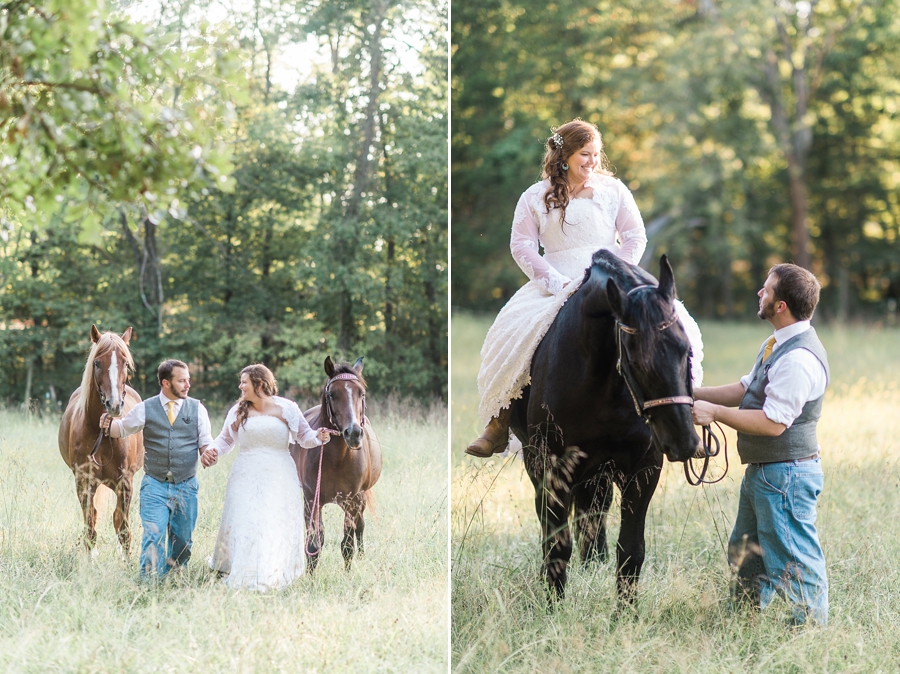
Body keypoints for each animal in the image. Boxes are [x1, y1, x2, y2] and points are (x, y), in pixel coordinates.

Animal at [59, 324, 144, 552]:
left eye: (125, 363)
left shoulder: (125, 484)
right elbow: (90, 530)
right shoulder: (84, 483)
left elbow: (124, 531)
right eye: (97, 363)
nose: (114, 405)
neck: (103, 433)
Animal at [290, 354, 382, 568]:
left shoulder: (352, 500)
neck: (337, 458)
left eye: (362, 393)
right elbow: (314, 544)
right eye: (332, 394)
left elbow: (347, 545)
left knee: (360, 526)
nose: (354, 433)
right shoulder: (311, 500)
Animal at [510, 248, 700, 604]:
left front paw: (625, 612)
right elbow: (557, 544)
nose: (685, 442)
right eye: (637, 361)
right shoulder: (551, 464)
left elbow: (631, 550)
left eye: (687, 350)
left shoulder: (644, 467)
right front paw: (553, 608)